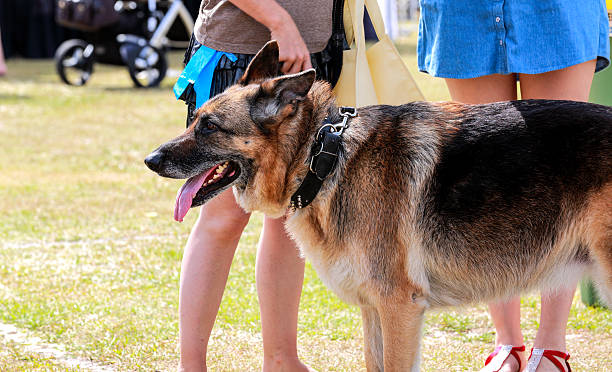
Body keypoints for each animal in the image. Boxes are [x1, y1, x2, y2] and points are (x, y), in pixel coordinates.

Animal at [146, 41, 608, 372]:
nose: (150, 160)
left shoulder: (399, 309)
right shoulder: (374, 311)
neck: (323, 156)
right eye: (195, 119)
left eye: (209, 126)